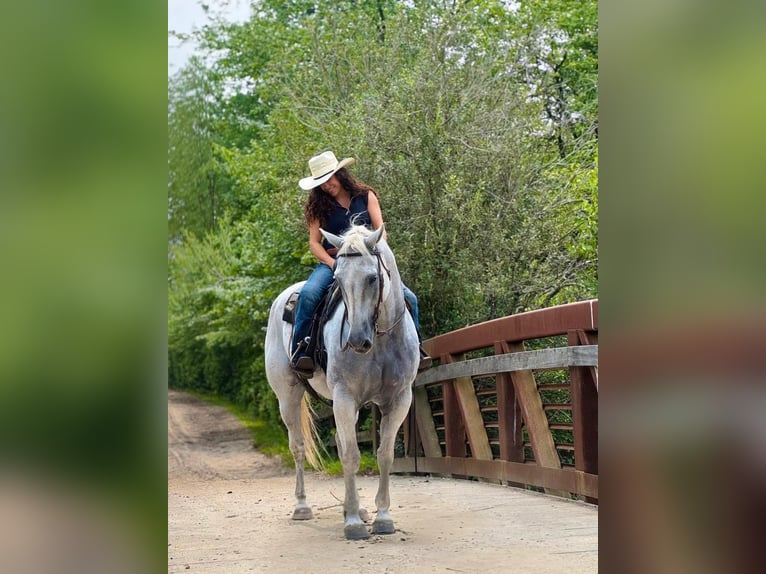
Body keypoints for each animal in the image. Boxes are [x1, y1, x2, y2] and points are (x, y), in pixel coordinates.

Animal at [264, 224, 419, 540]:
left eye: (373, 278)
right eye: (337, 279)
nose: (357, 340)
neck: (381, 342)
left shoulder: (399, 400)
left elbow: (384, 455)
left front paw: (381, 517)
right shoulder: (345, 398)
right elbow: (350, 455)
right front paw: (354, 525)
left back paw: (354, 507)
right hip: (288, 398)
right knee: (298, 447)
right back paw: (303, 507)